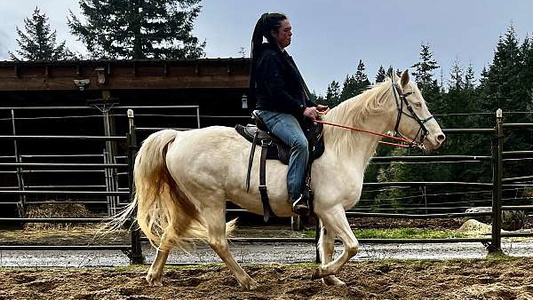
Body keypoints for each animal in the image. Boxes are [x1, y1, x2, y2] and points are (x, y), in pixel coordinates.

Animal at [111, 69, 444, 290]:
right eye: (415, 103)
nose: (438, 138)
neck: (340, 145)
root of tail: (178, 137)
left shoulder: (326, 212)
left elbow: (327, 245)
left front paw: (330, 278)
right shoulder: (332, 209)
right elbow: (351, 246)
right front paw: (321, 273)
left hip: (188, 204)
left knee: (169, 234)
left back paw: (154, 277)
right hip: (209, 201)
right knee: (217, 240)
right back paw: (247, 281)